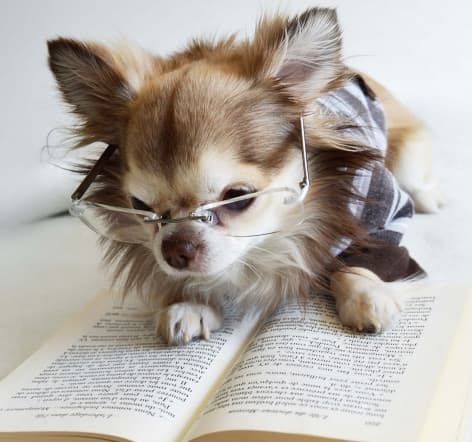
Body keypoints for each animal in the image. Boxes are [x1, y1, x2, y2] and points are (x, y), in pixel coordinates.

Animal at [46, 7, 440, 346]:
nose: (175, 250)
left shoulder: (379, 204)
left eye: (237, 197)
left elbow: (362, 249)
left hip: (406, 156)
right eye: (140, 206)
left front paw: (365, 292)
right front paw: (190, 302)